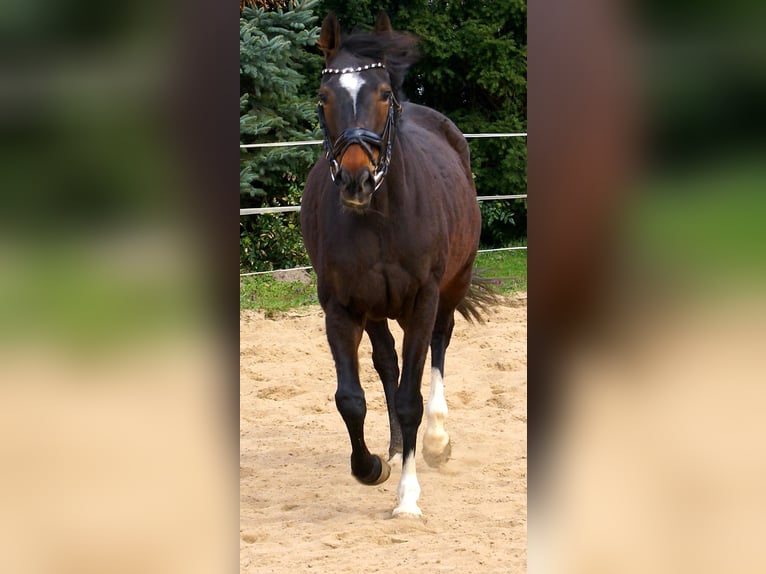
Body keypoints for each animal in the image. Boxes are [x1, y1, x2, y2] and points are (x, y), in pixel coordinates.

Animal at [301, 12, 487, 518]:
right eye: (324, 97)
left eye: (383, 93)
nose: (356, 179)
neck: (380, 219)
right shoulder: (341, 308)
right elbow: (351, 398)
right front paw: (371, 468)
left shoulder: (423, 300)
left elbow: (410, 399)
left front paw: (407, 500)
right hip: (377, 311)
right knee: (386, 364)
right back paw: (396, 446)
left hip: (451, 288)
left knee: (440, 346)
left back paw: (436, 442)